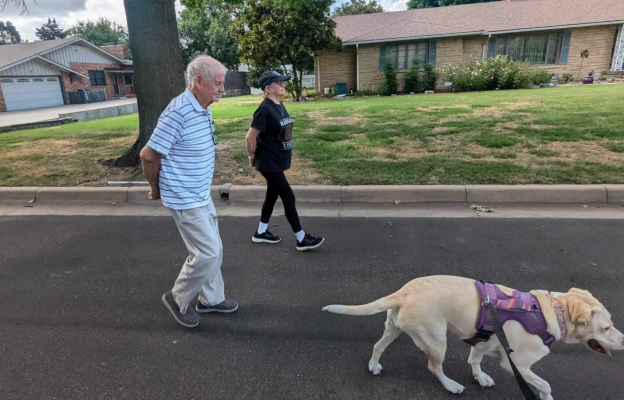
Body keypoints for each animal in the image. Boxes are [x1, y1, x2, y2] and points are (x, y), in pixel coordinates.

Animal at [324, 276, 620, 400]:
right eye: (606, 328)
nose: (623, 340)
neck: (552, 312)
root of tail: (404, 291)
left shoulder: (483, 340)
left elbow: (476, 360)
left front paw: (481, 377)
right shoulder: (518, 365)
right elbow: (545, 384)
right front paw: (546, 397)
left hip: (394, 327)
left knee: (378, 346)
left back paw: (374, 365)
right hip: (436, 339)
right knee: (434, 366)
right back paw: (451, 385)